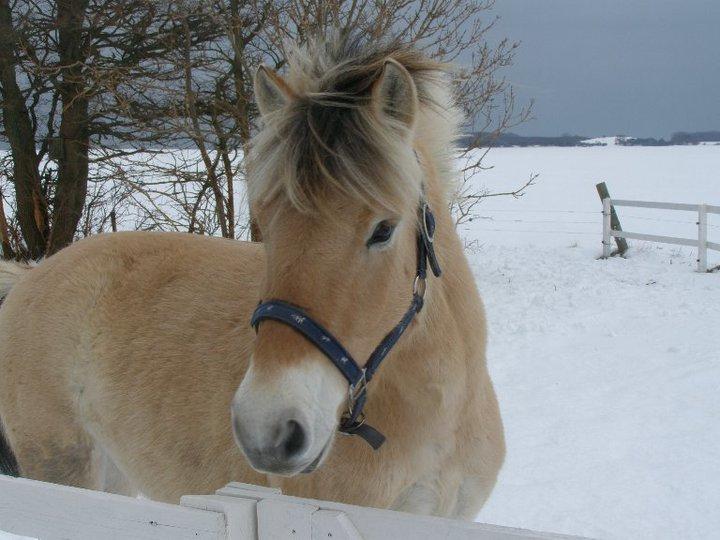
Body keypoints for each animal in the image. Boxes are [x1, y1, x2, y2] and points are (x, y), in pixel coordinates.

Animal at [0, 37, 504, 520]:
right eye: (265, 222)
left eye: (383, 230)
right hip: (64, 468)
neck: (440, 416)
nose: (268, 430)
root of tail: (29, 279)